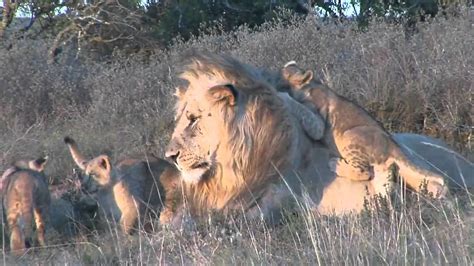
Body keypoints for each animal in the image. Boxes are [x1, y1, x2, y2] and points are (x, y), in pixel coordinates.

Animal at [282, 62, 448, 198]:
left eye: (286, 74)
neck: (310, 85)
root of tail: (392, 145)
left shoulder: (318, 123)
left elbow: (302, 109)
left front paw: (284, 96)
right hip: (385, 170)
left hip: (350, 136)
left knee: (364, 172)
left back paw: (336, 164)